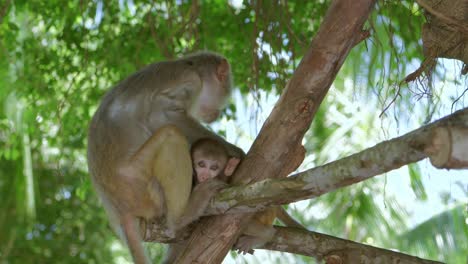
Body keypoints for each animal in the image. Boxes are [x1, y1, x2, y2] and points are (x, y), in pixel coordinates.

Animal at [86, 52, 245, 264]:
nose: (217, 112)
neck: (190, 65)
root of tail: (120, 212)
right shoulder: (190, 81)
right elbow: (161, 115)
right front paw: (234, 152)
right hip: (138, 184)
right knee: (171, 135)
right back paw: (181, 217)